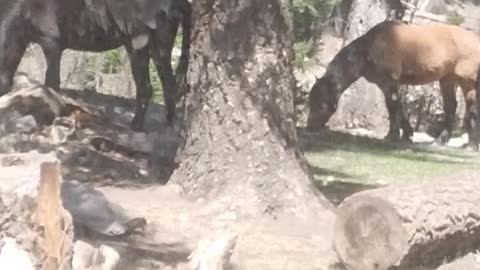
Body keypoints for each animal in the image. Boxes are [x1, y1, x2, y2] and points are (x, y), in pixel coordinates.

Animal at [0, 0, 191, 131]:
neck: (23, 10)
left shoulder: (51, 44)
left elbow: (52, 83)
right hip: (143, 47)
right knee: (156, 86)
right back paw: (151, 125)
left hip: (150, 46)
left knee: (159, 86)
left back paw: (154, 127)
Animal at [308, 20, 480, 152]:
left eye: (321, 104)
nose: (310, 126)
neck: (370, 48)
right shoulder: (384, 84)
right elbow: (398, 107)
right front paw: (407, 134)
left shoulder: (390, 81)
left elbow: (392, 107)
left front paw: (392, 135)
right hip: (447, 79)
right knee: (451, 107)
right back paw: (441, 141)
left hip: (467, 81)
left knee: (472, 109)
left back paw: (471, 145)